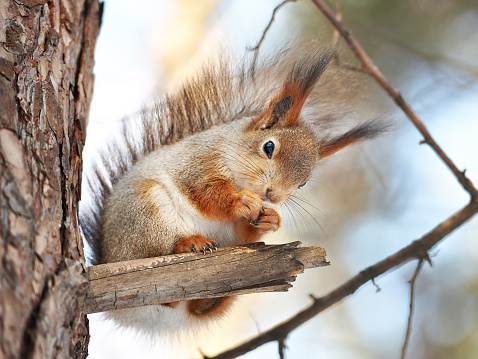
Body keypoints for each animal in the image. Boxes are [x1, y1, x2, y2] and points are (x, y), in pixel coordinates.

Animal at [79, 46, 384, 336]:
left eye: (303, 183)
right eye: (269, 146)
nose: (273, 195)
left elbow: (244, 232)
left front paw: (270, 219)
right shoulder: (196, 164)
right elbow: (204, 192)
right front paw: (240, 201)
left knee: (193, 306)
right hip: (145, 214)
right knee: (155, 255)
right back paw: (189, 243)